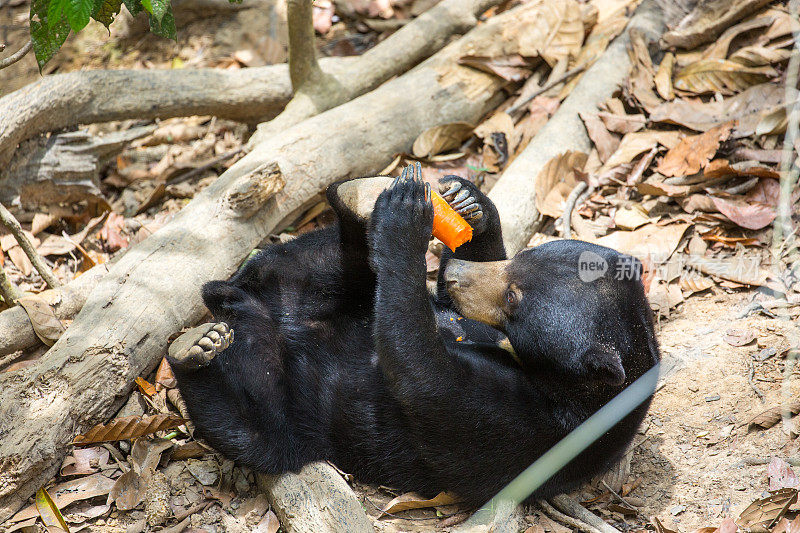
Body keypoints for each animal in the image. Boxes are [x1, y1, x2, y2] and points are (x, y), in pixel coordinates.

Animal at [166, 162, 660, 502]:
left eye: (514, 298)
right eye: (518, 261)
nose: (454, 273)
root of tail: (258, 308)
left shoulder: (529, 430)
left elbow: (422, 375)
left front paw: (406, 219)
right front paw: (467, 203)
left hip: (288, 417)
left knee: (247, 423)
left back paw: (197, 348)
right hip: (303, 272)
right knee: (313, 262)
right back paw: (354, 197)